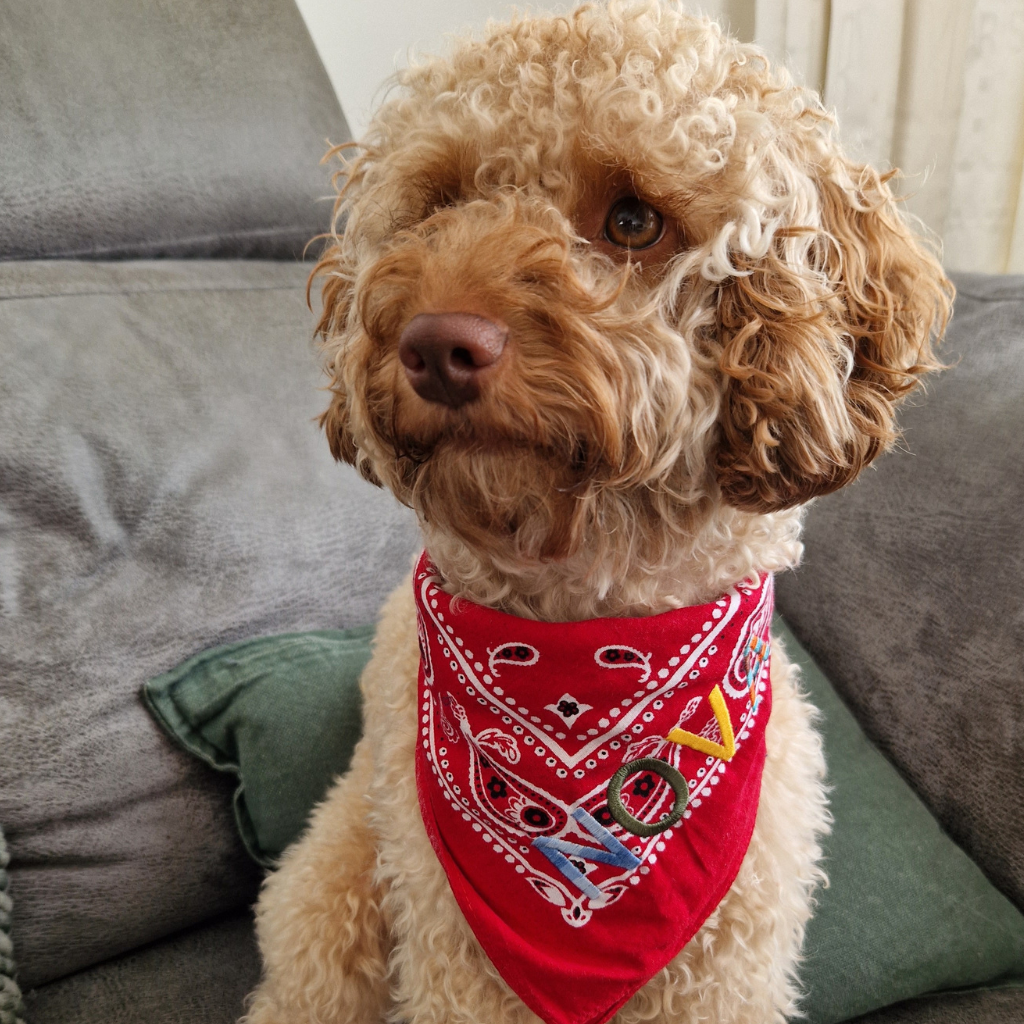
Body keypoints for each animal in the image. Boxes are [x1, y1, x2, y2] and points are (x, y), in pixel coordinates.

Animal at [245, 2, 950, 1024]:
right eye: (440, 204)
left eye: (633, 221)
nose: (436, 346)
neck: (581, 636)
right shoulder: (451, 950)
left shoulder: (731, 955)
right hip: (331, 881)